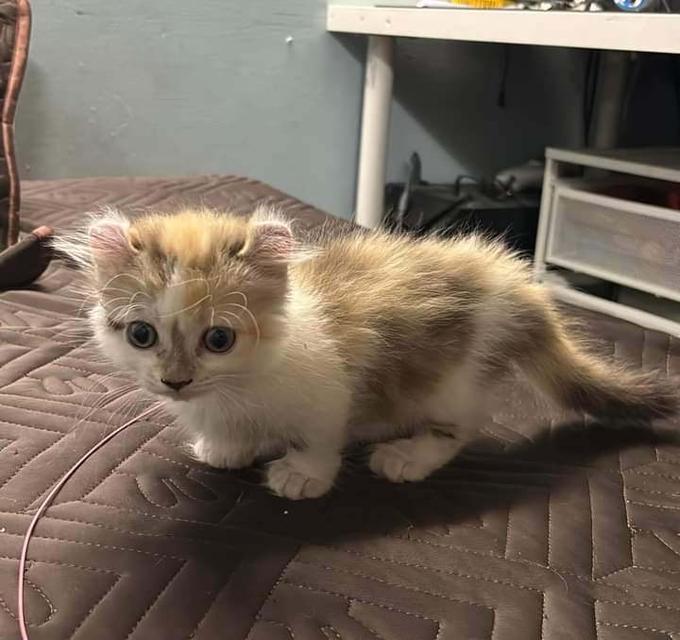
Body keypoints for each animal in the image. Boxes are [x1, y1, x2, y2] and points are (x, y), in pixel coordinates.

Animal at [55, 208, 676, 498]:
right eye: (141, 335)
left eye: (219, 340)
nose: (175, 381)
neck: (241, 387)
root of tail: (517, 283)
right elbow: (230, 434)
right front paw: (227, 447)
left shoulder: (330, 392)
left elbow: (320, 435)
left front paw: (304, 474)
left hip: (454, 379)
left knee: (462, 426)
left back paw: (409, 455)